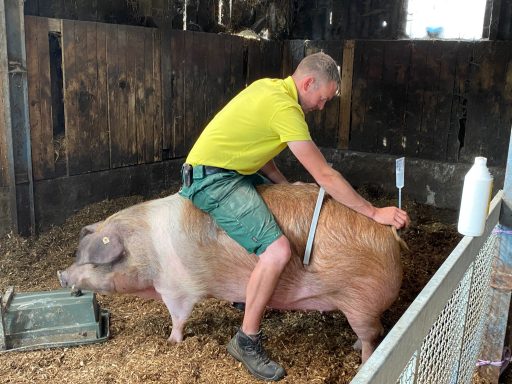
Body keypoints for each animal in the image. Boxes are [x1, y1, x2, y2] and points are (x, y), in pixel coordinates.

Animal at [58, 184, 406, 364]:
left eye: (93, 260)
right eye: (78, 252)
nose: (62, 275)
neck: (147, 248)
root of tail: (390, 236)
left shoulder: (176, 288)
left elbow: (178, 317)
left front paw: (171, 341)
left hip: (361, 300)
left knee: (373, 335)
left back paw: (364, 361)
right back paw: (354, 349)